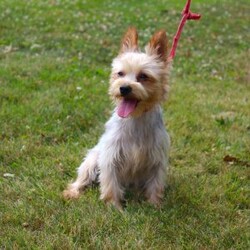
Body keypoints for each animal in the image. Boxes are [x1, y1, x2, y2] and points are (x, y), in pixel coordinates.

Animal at [63, 26, 171, 209]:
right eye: (120, 73)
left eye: (143, 76)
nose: (124, 88)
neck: (135, 118)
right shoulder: (110, 157)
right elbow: (110, 184)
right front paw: (114, 206)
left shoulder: (157, 159)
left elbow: (155, 184)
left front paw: (154, 204)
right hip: (92, 160)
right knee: (82, 178)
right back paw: (73, 192)